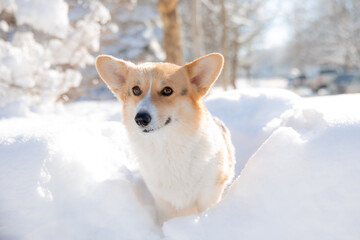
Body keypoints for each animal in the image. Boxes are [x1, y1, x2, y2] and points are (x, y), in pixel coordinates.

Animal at [96, 53, 236, 222]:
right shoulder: (163, 203)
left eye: (167, 90)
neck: (166, 146)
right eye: (136, 90)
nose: (141, 119)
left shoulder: (208, 194)